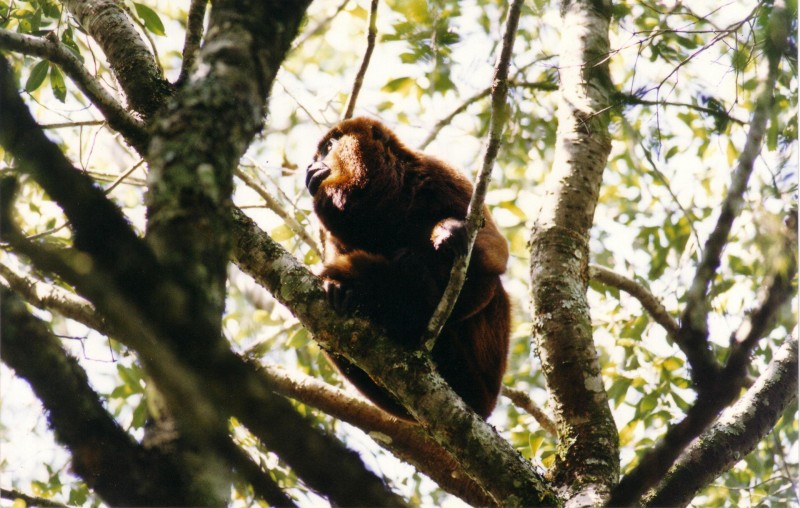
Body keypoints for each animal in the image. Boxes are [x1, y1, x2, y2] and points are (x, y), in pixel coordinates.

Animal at [306, 117, 512, 418]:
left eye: (329, 147)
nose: (310, 167)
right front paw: (346, 285)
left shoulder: (440, 173)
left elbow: (497, 251)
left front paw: (446, 233)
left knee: (488, 283)